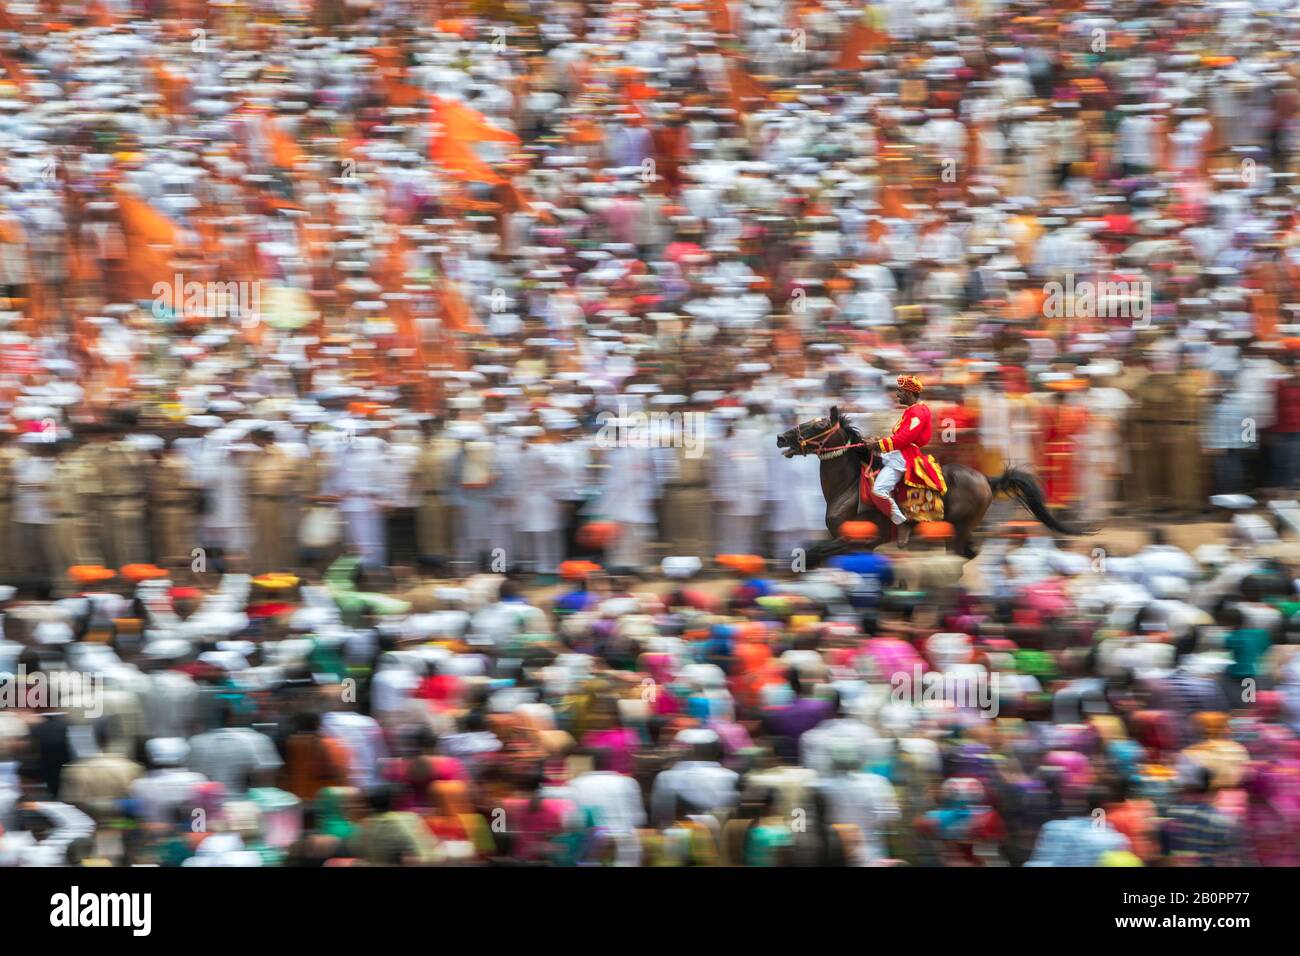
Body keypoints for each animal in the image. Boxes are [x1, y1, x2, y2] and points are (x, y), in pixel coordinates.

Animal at [774, 405, 1081, 567]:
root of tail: (985, 479)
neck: (847, 488)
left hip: (958, 528)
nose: (781, 437)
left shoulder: (857, 539)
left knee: (962, 555)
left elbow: (814, 552)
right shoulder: (855, 544)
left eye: (817, 426)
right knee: (970, 553)